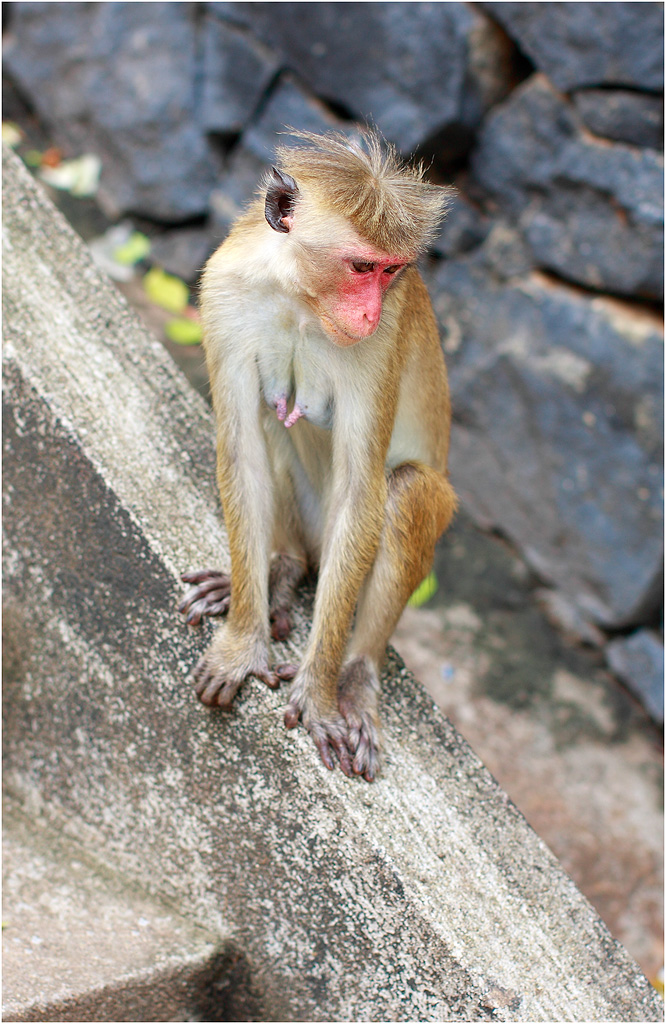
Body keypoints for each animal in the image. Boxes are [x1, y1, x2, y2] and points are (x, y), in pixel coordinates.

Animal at [179, 132, 452, 778]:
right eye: (361, 266)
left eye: (392, 271)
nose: (368, 312)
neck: (299, 299)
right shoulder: (222, 292)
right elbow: (242, 451)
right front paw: (242, 640)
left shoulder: (382, 341)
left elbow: (361, 492)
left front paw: (319, 695)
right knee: (267, 421)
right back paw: (278, 569)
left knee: (406, 489)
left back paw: (355, 680)